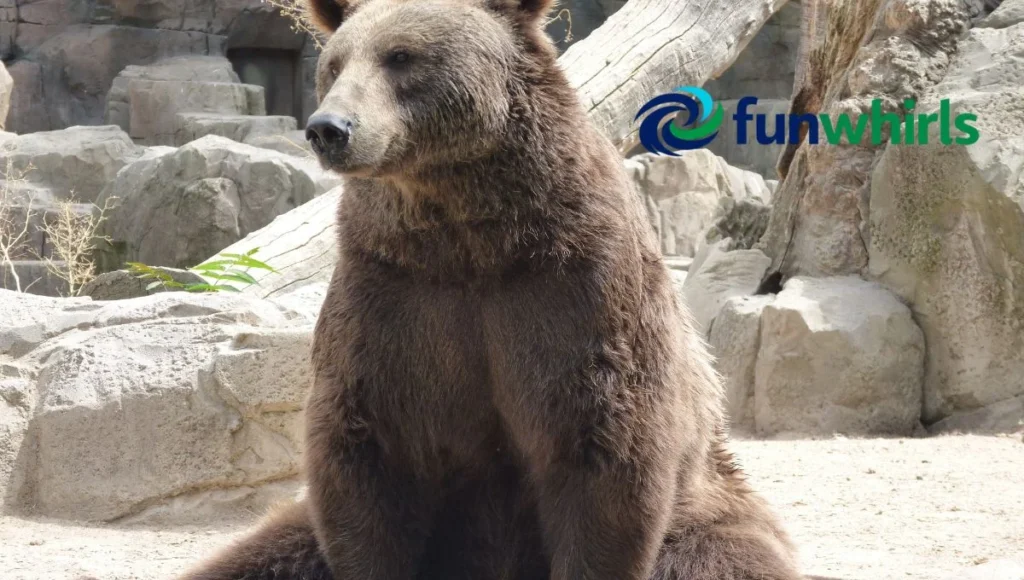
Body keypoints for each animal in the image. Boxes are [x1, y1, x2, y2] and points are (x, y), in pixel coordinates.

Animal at [178, 0, 803, 579]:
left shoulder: (578, 291)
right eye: (333, 64)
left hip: (708, 507)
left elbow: (606, 446)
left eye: (400, 56)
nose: (329, 129)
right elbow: (363, 452)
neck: (471, 240)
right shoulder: (392, 294)